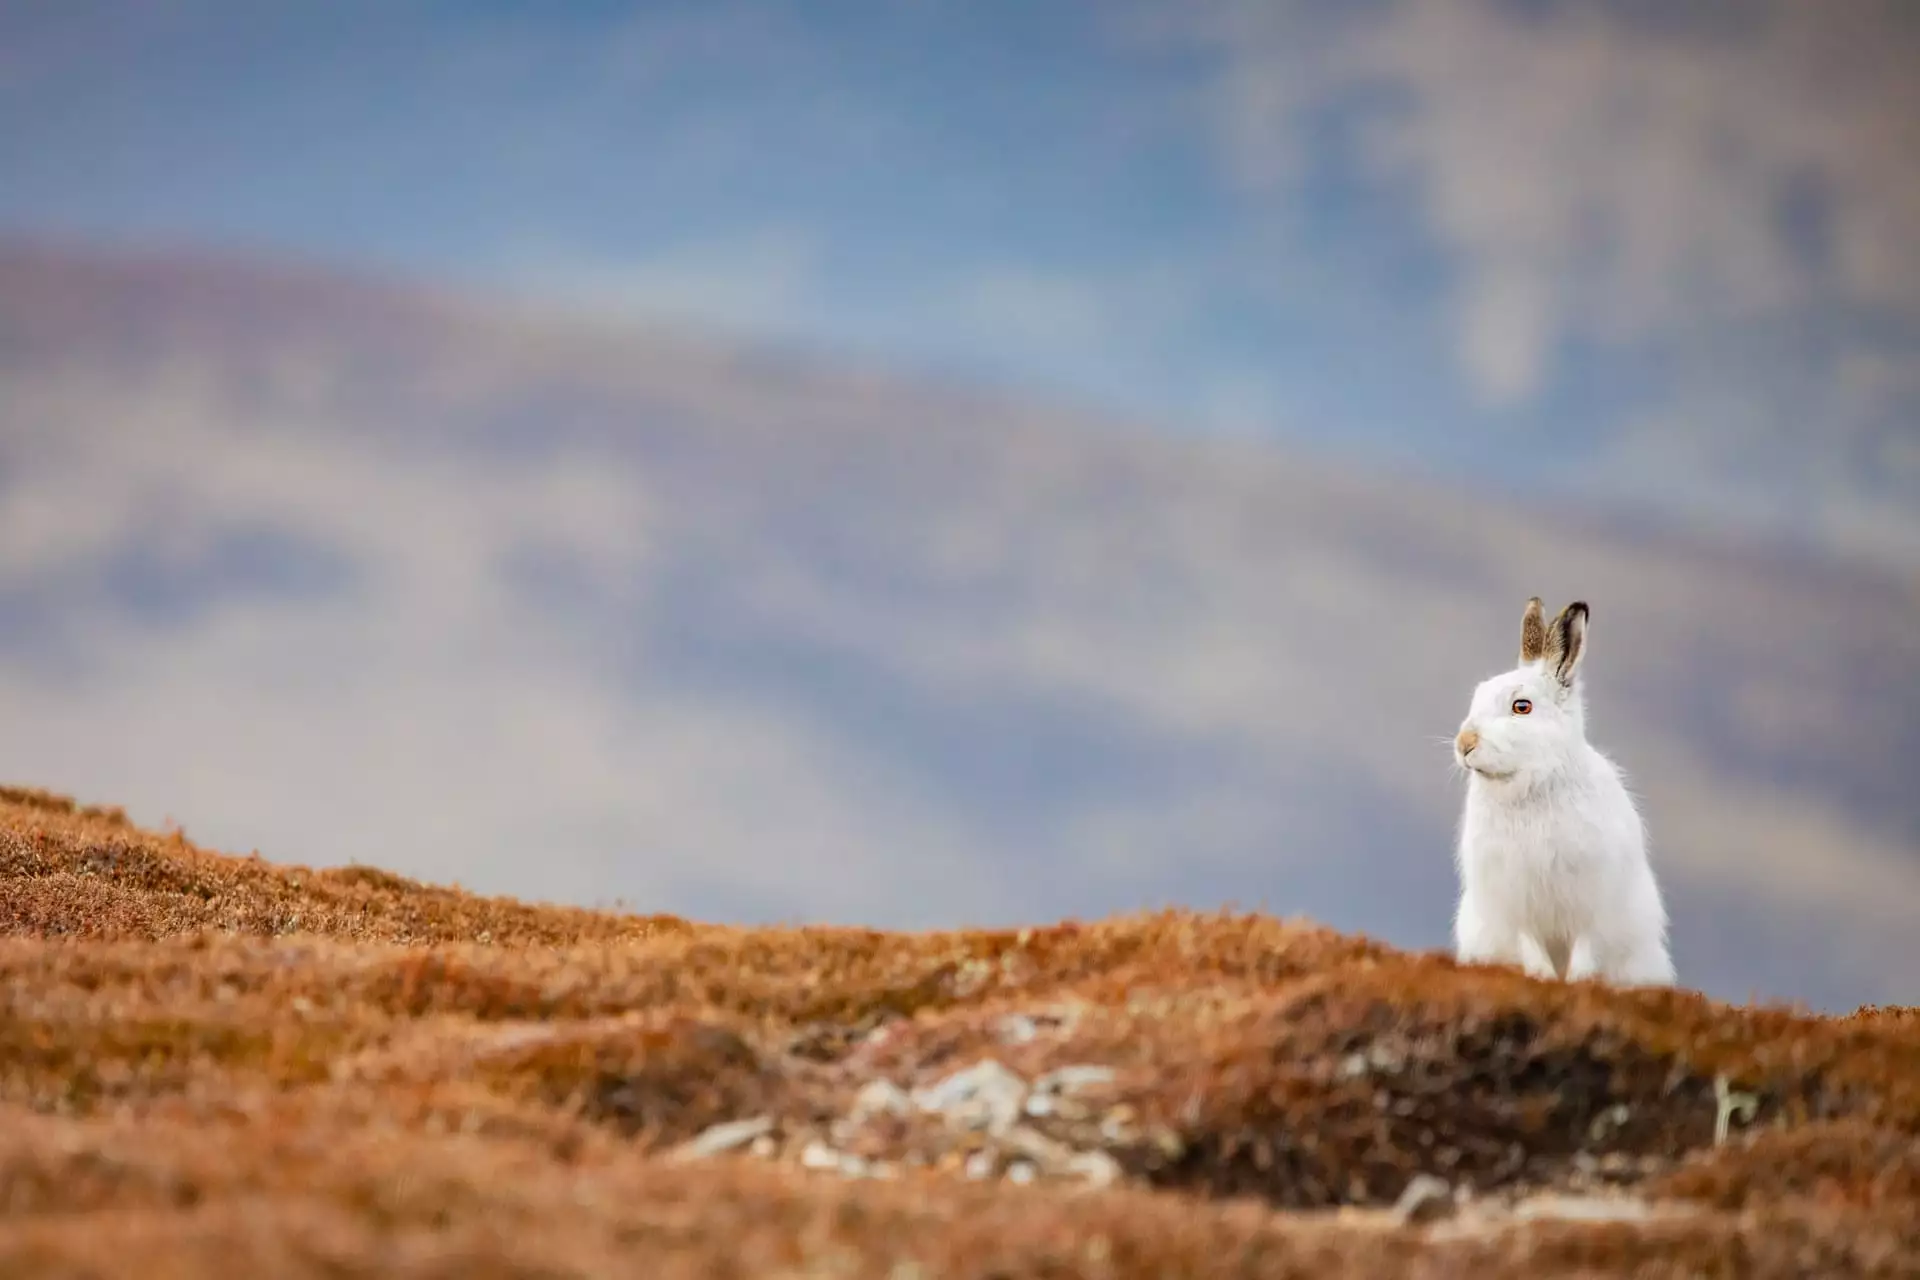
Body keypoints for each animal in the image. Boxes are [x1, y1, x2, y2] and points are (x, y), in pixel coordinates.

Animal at [1450, 597, 1675, 987]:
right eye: (1477, 696)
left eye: (1521, 706)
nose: (1465, 744)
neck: (1531, 784)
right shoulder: (1515, 904)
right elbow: (1532, 949)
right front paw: (1542, 980)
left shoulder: (1590, 905)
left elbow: (1584, 950)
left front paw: (1579, 984)